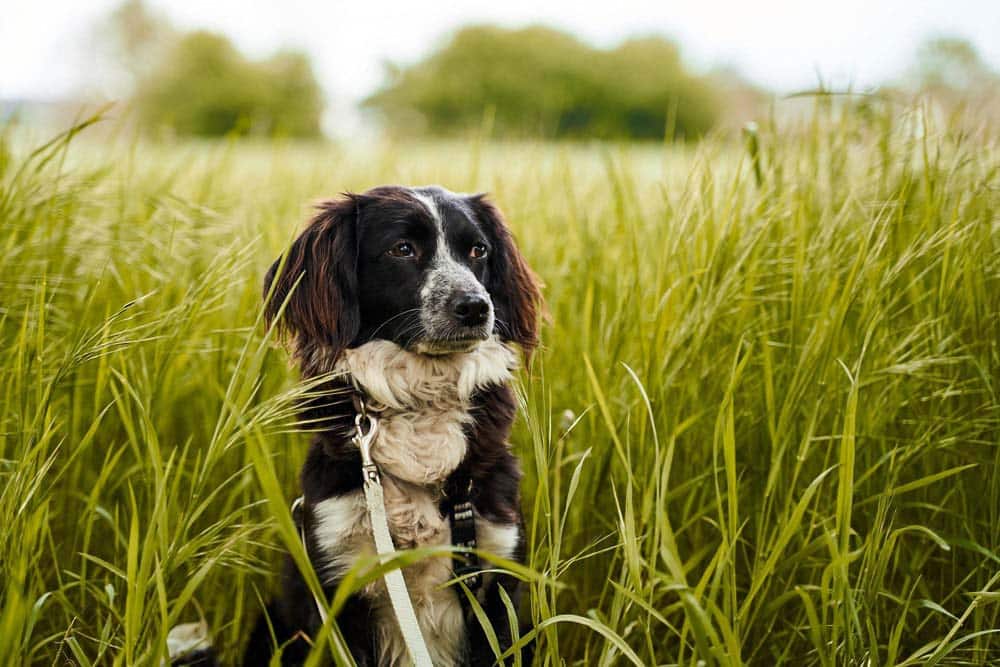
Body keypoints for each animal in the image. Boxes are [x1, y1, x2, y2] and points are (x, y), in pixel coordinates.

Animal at [241, 185, 540, 664]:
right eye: (402, 249)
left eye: (479, 251)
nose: (477, 307)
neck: (422, 402)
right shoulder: (338, 583)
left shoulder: (496, 576)